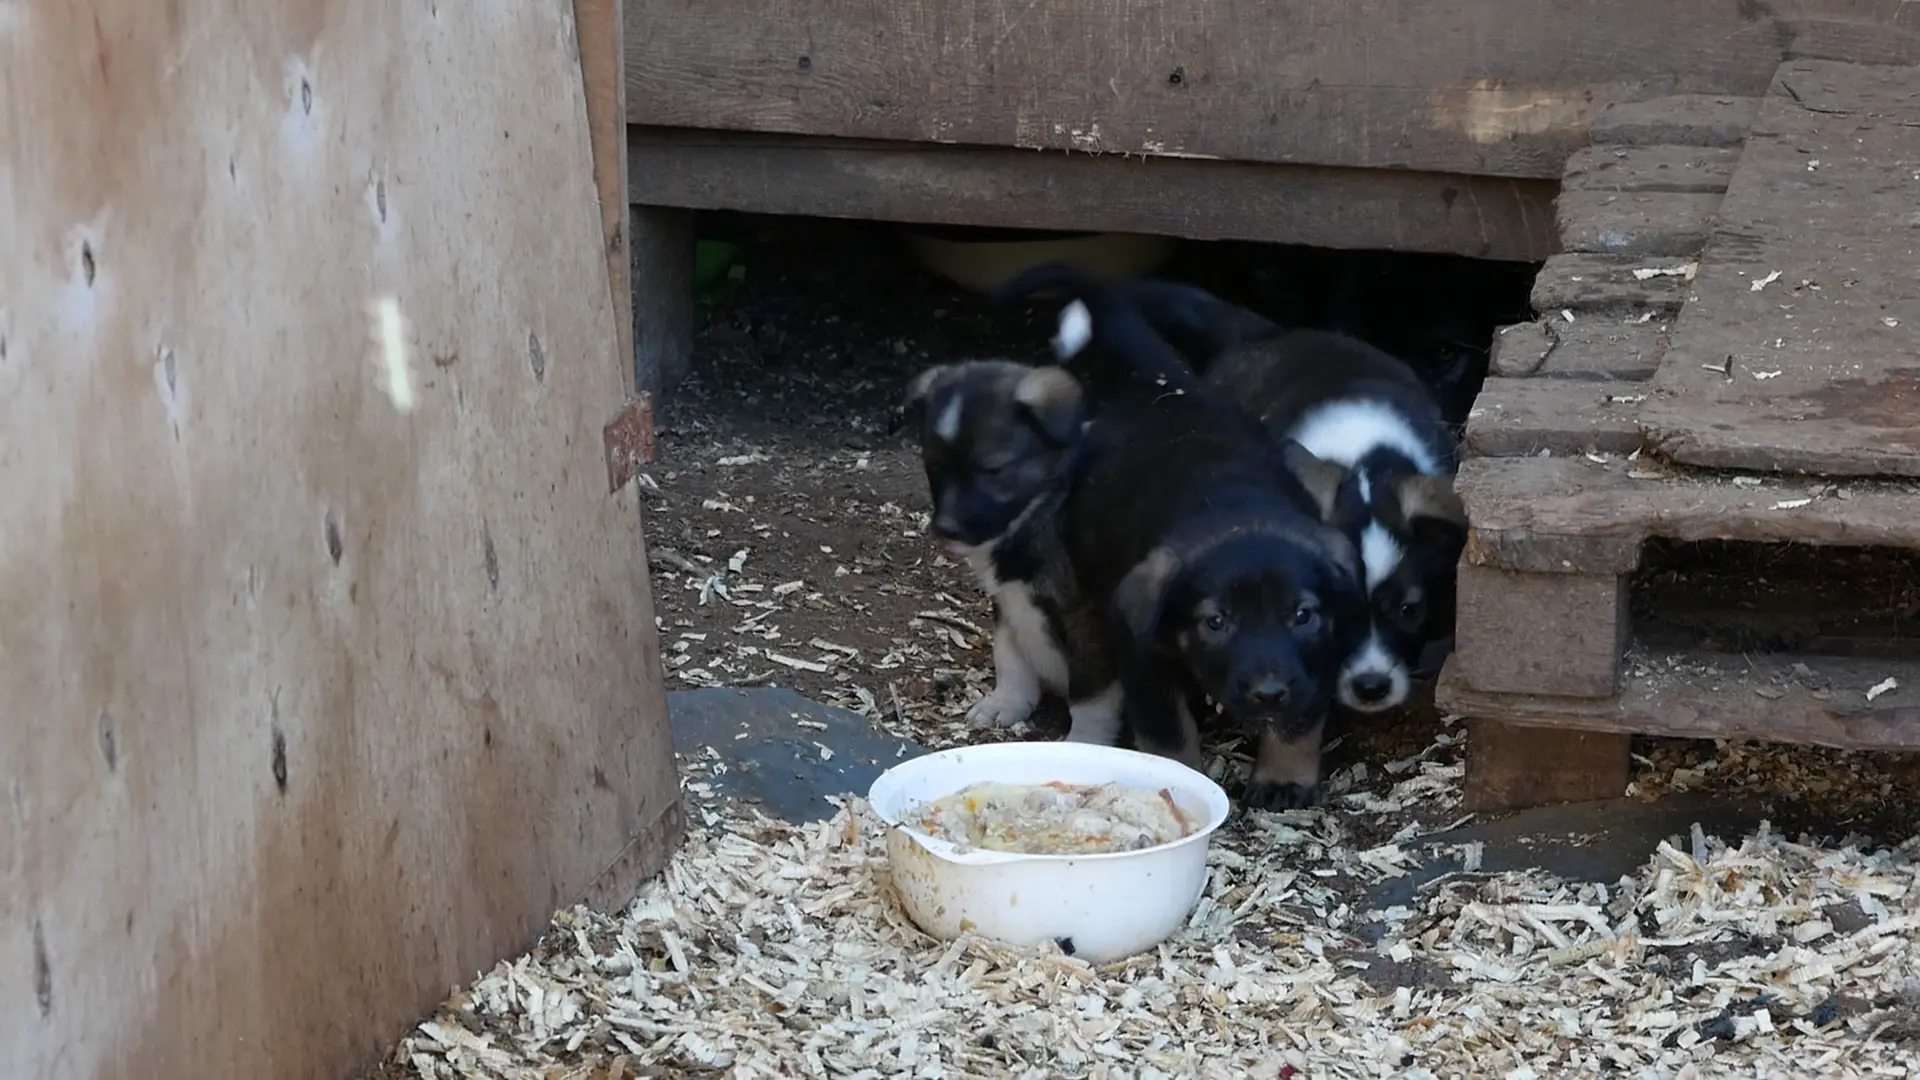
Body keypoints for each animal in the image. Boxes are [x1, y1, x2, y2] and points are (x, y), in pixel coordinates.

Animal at [890, 357, 1128, 745]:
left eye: (991, 470)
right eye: (935, 467)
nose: (946, 528)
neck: (1037, 516)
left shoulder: (1088, 620)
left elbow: (1091, 697)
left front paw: (1084, 743)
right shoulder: (1006, 602)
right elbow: (1010, 657)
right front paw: (1006, 703)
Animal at [990, 263, 1367, 807]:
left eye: (1302, 615)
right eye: (1216, 622)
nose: (1269, 693)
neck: (1236, 511)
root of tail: (1159, 384)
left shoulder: (1318, 655)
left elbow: (1300, 720)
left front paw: (1283, 778)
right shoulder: (1143, 660)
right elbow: (1168, 734)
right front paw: (1181, 778)